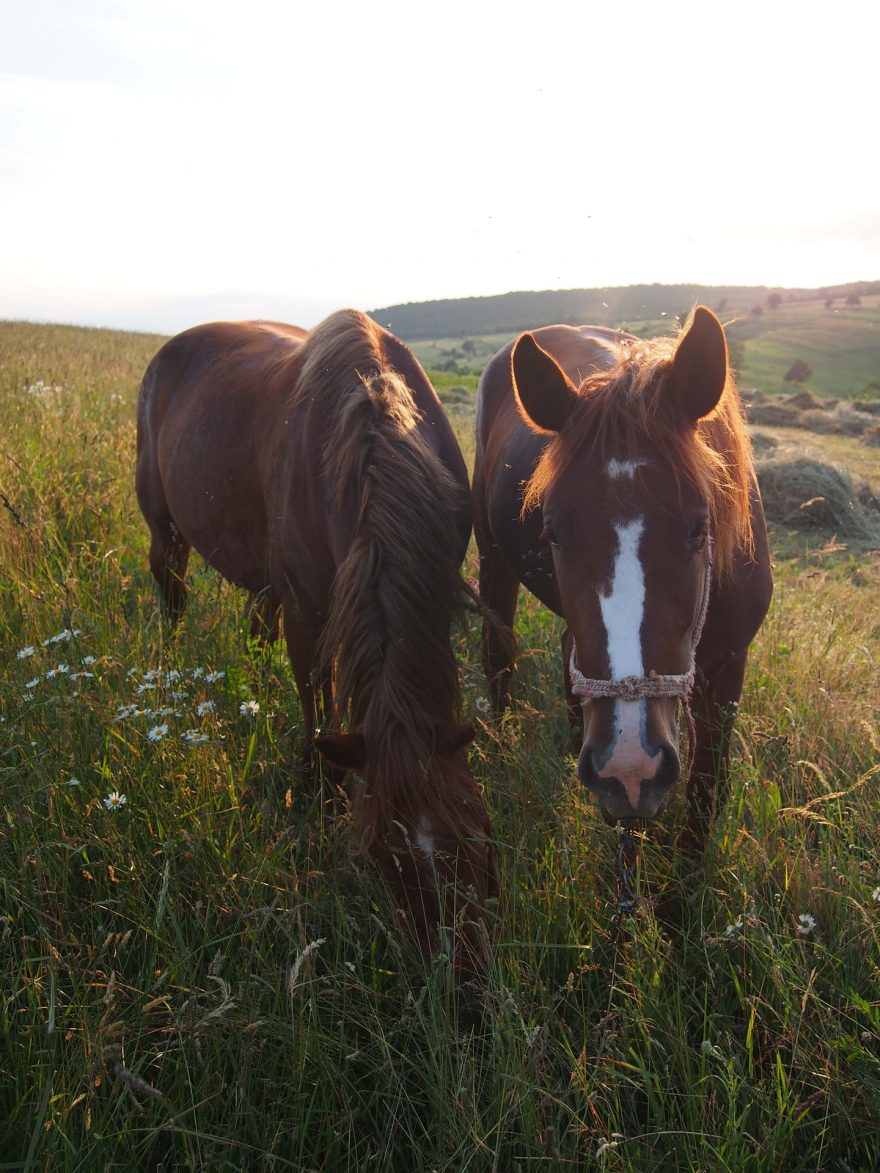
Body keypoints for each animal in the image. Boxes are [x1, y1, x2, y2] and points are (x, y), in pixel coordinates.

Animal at [136, 307, 497, 966]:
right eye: (381, 856)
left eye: (474, 829)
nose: (461, 972)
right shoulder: (309, 612)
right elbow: (316, 695)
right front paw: (319, 792)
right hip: (164, 529)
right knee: (171, 595)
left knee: (256, 626)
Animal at [476, 307, 769, 844]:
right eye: (552, 531)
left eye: (700, 527)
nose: (629, 764)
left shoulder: (728, 672)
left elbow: (706, 792)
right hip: (493, 564)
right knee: (499, 656)